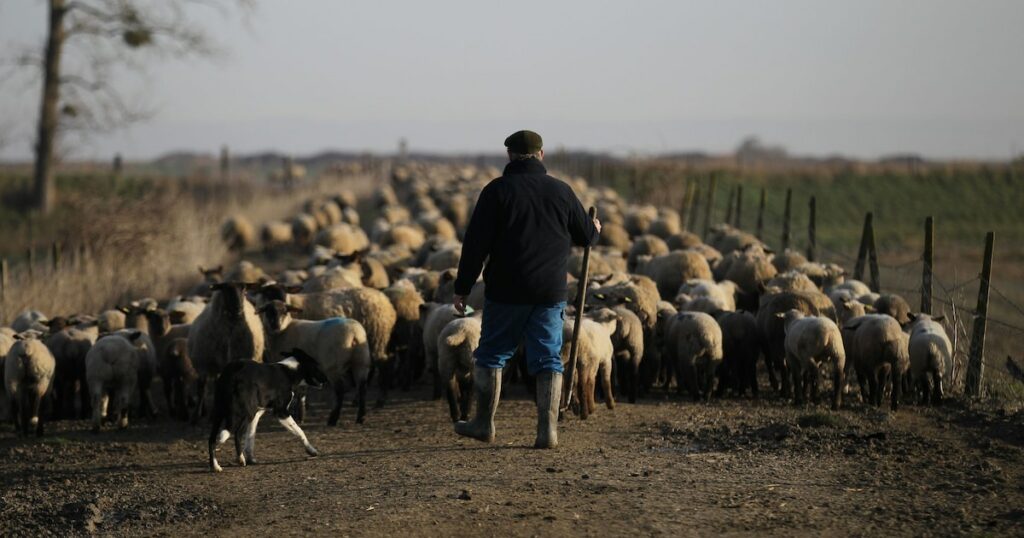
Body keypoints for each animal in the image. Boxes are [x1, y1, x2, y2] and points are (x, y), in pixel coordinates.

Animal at [188, 280, 266, 424]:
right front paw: (196, 417)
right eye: (226, 289)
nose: (239, 309)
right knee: (205, 387)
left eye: (244, 289)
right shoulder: (205, 364)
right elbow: (202, 389)